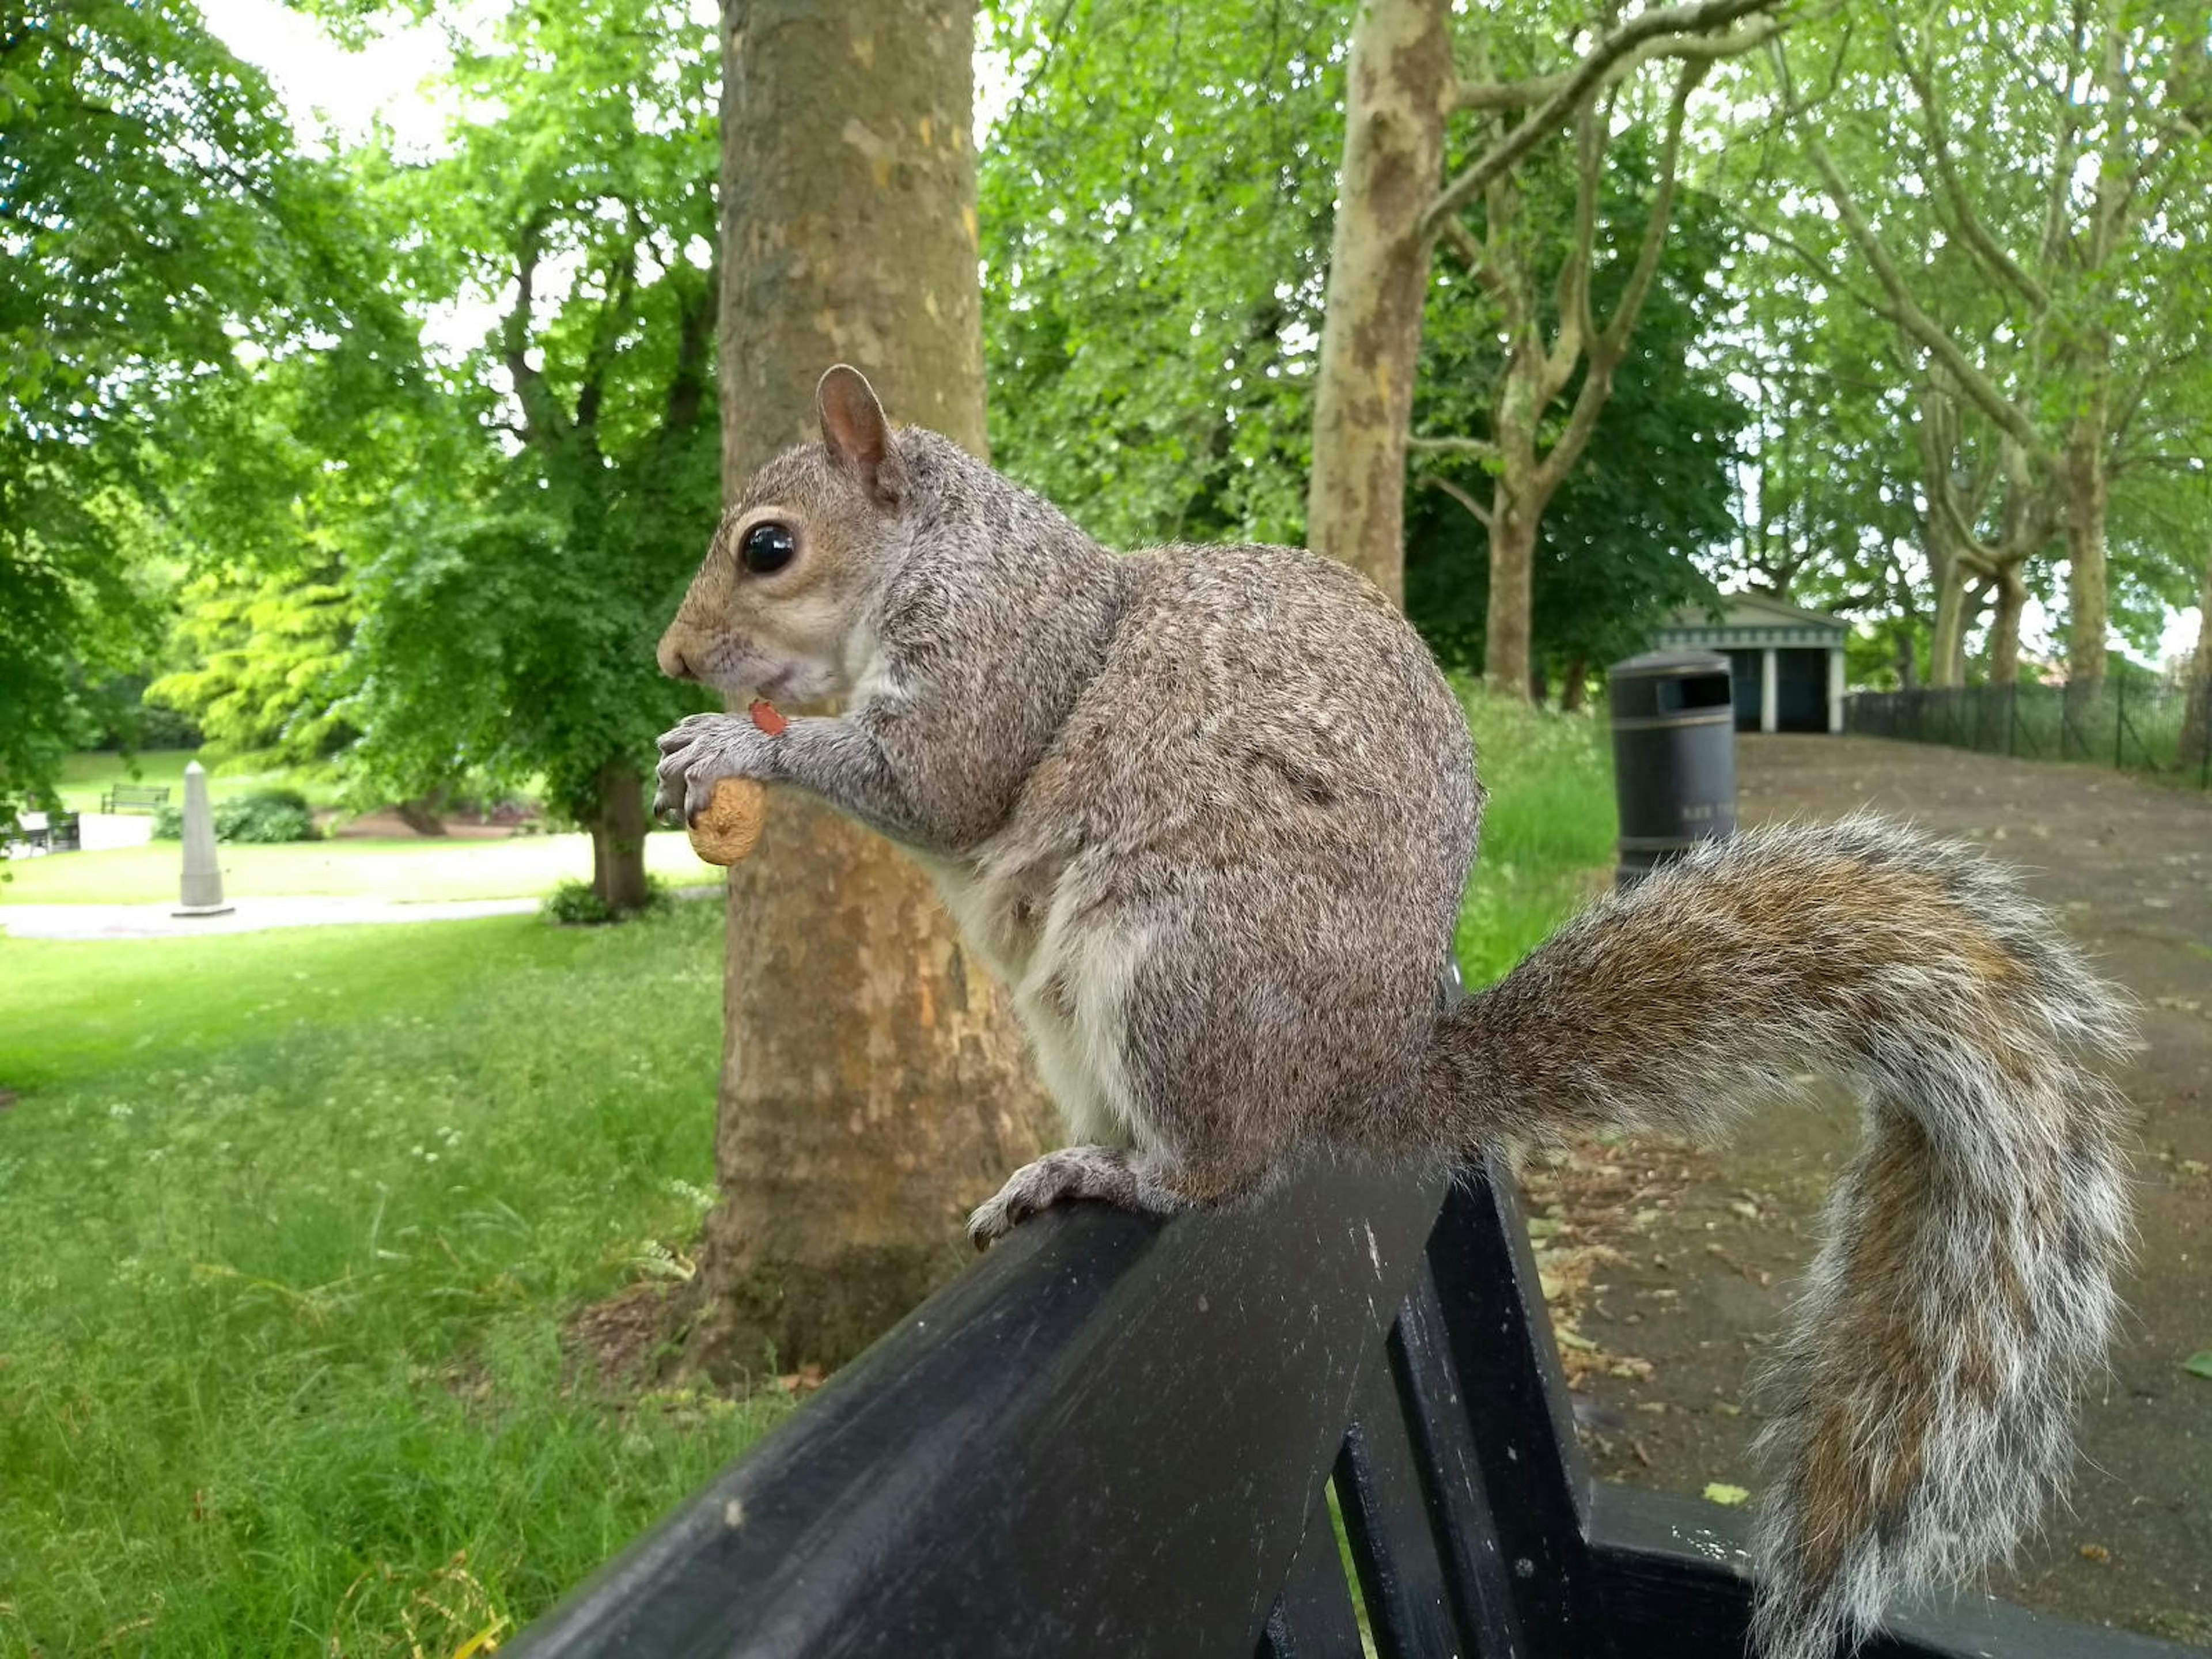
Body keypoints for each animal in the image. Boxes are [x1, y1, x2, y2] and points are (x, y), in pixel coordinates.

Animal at [659, 367, 2141, 1659]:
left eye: (769, 546)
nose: (675, 659)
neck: (941, 555)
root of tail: (1360, 1074)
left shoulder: (994, 658)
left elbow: (939, 782)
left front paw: (731, 748)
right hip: (1078, 1018)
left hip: (1177, 974)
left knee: (1218, 1171)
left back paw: (1116, 1173)